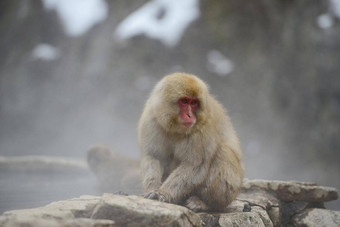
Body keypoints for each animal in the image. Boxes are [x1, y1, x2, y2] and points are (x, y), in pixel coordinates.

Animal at [138, 73, 244, 213]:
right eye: (184, 101)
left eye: (194, 103)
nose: (189, 115)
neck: (175, 128)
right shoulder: (151, 120)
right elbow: (154, 156)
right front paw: (152, 189)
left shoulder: (202, 129)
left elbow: (194, 165)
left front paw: (163, 193)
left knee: (223, 152)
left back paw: (205, 203)